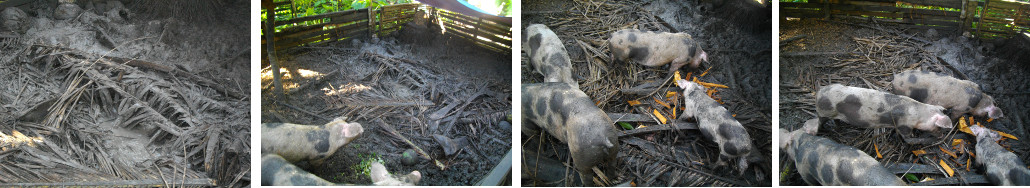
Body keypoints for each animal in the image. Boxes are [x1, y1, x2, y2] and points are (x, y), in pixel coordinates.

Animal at [815, 83, 951, 135]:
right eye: (938, 126)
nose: (941, 136)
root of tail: (819, 91)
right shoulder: (903, 126)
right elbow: (906, 134)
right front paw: (913, 137)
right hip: (824, 112)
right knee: (820, 121)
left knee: (836, 120)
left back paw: (839, 128)